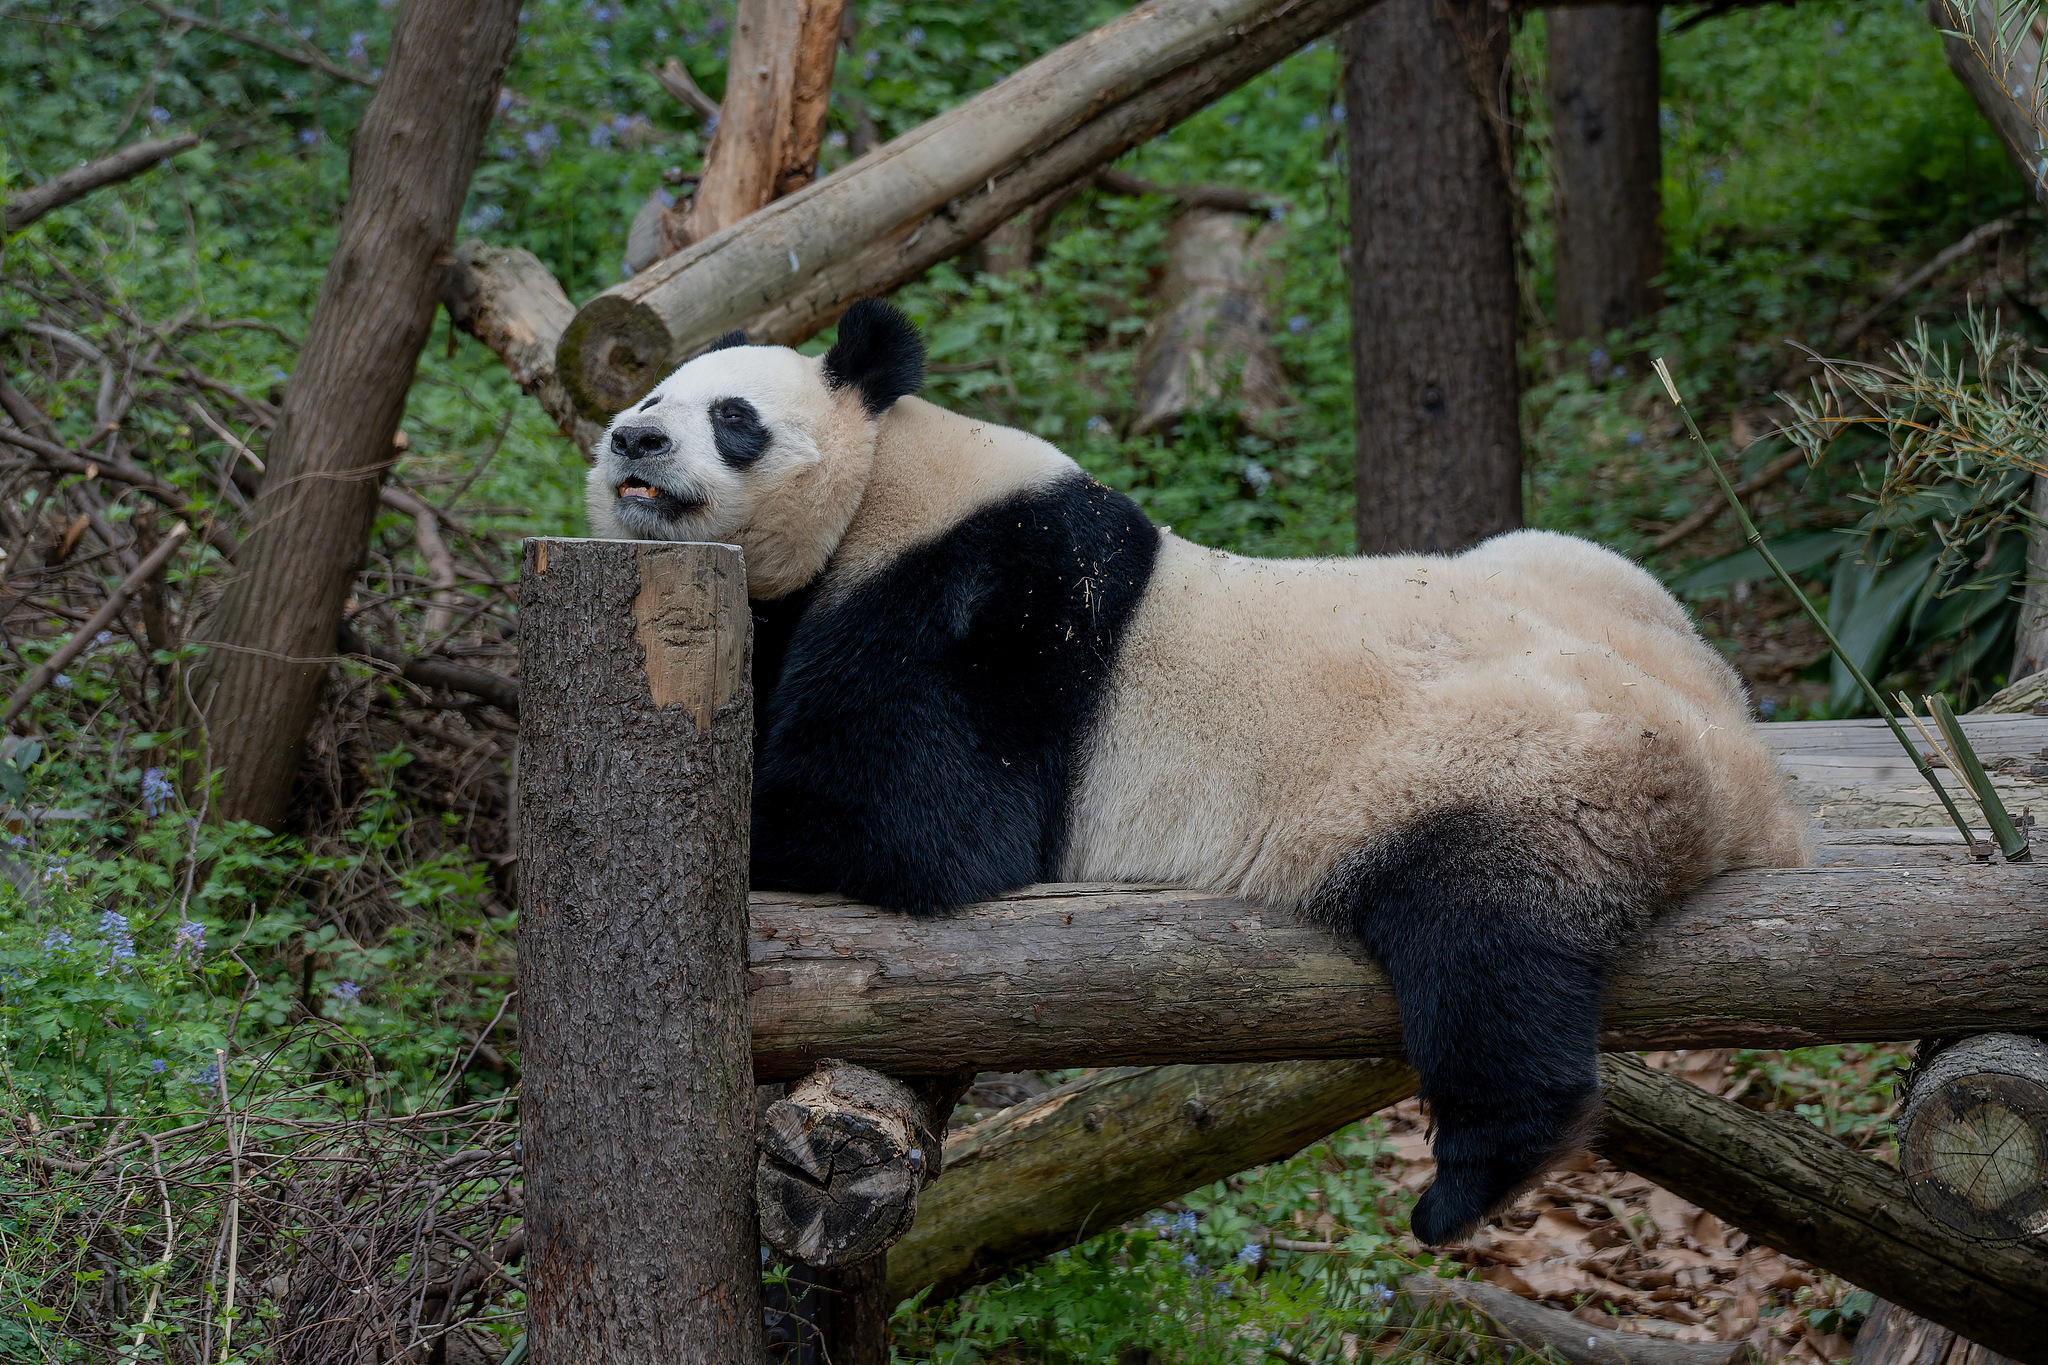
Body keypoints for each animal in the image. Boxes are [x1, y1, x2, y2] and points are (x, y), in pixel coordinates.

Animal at [588, 298, 1811, 1245]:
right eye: (652, 389)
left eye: (731, 418)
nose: (630, 441)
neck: (885, 472)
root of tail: (1747, 785)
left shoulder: (978, 612)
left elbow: (917, 827)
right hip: (1582, 575)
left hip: (1515, 774)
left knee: (1486, 954)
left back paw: (1470, 1183)